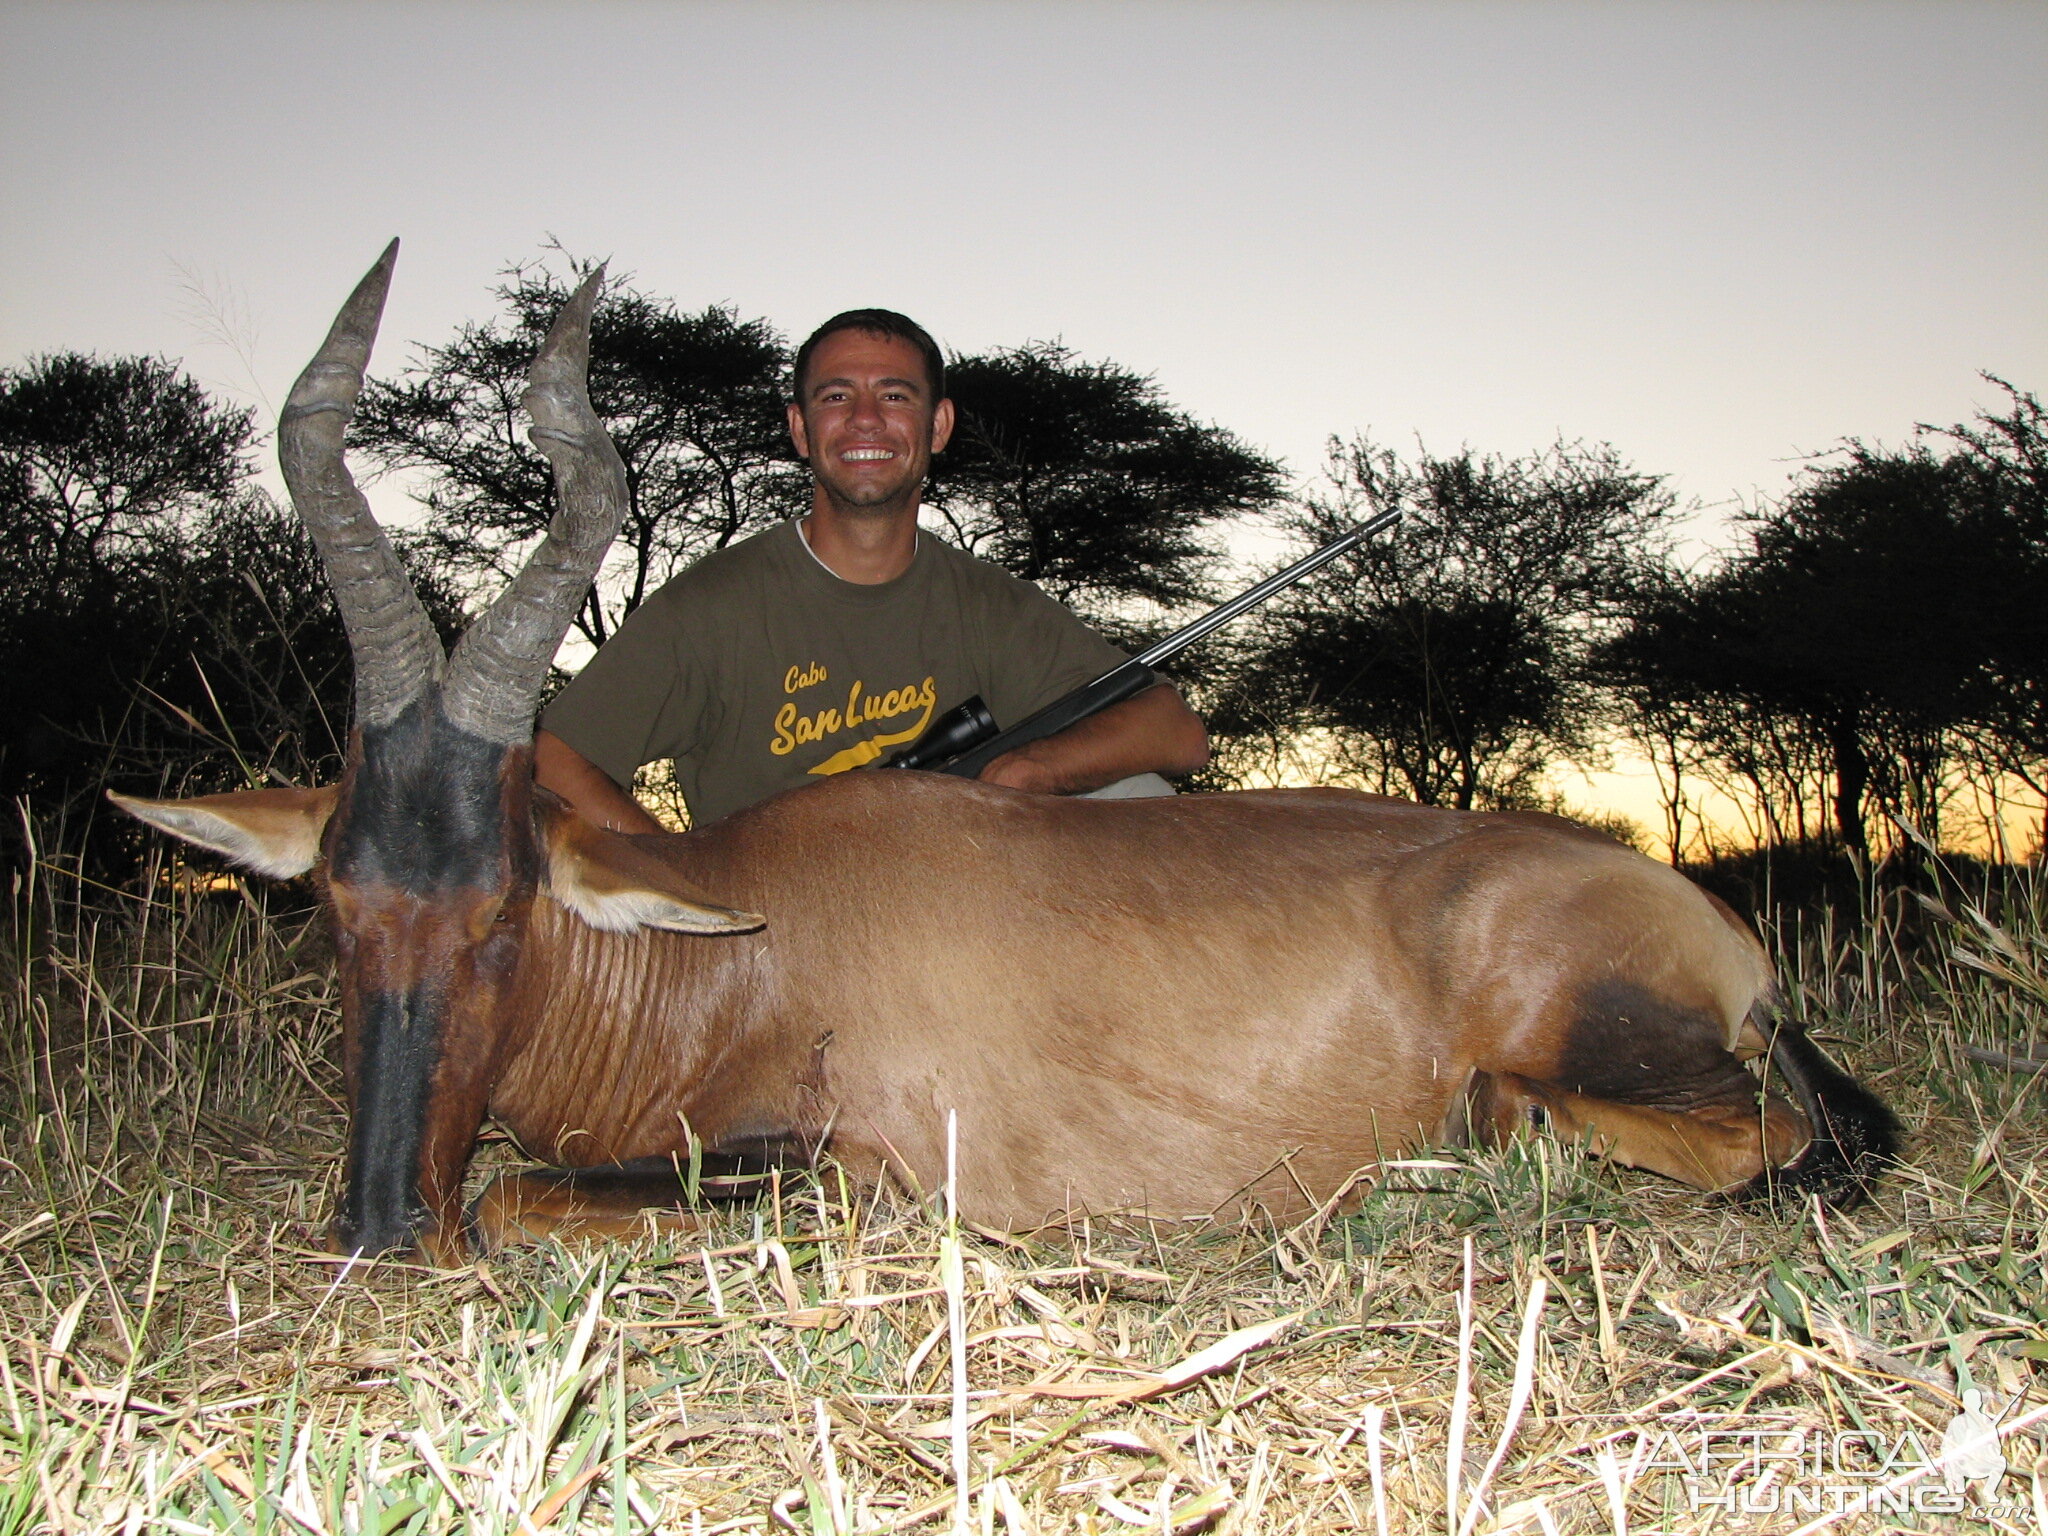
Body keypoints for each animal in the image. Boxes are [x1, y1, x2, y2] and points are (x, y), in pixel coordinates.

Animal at [119, 246, 1892, 1269]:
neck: (737, 943)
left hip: (1614, 1055)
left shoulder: (858, 1173)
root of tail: (1710, 925)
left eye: (503, 916)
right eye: (335, 907)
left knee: (1742, 1140)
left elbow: (516, 1190)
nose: (372, 1231)